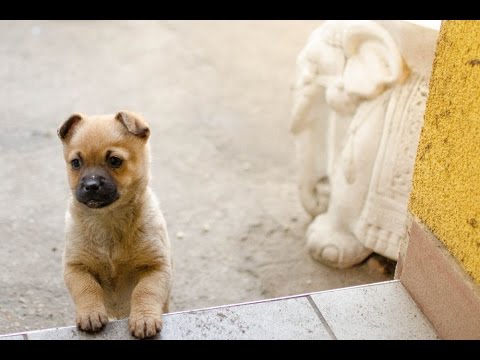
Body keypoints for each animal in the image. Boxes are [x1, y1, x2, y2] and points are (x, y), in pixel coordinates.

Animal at [57, 111, 172, 338]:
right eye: (75, 163)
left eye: (114, 160)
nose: (91, 185)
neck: (108, 220)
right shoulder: (75, 268)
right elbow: (87, 289)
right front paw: (91, 314)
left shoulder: (157, 267)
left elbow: (145, 291)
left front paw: (144, 319)